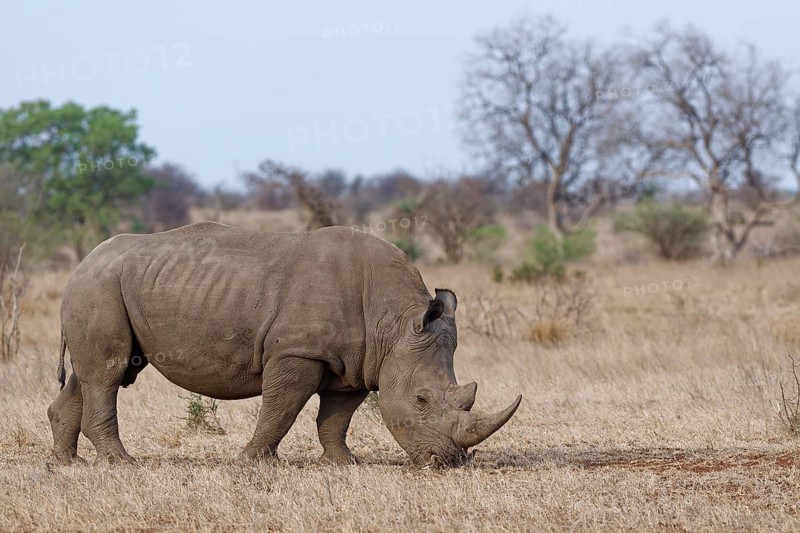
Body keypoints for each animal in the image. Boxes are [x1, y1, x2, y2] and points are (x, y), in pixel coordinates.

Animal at [47, 222, 521, 467]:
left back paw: (68, 464)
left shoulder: (357, 361)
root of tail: (83, 262)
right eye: (421, 400)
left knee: (90, 376)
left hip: (106, 285)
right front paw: (251, 462)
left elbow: (336, 416)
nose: (450, 462)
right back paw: (121, 463)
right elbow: (281, 409)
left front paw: (343, 464)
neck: (394, 323)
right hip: (99, 285)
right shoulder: (298, 352)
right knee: (109, 374)